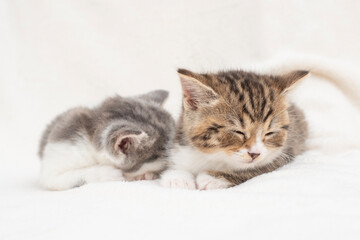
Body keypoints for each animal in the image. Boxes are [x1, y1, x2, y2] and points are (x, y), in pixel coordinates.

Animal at [161, 69, 310, 189]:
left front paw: (213, 178)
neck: (214, 157)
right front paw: (177, 177)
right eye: (237, 131)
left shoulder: (285, 152)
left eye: (270, 133)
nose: (255, 154)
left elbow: (255, 169)